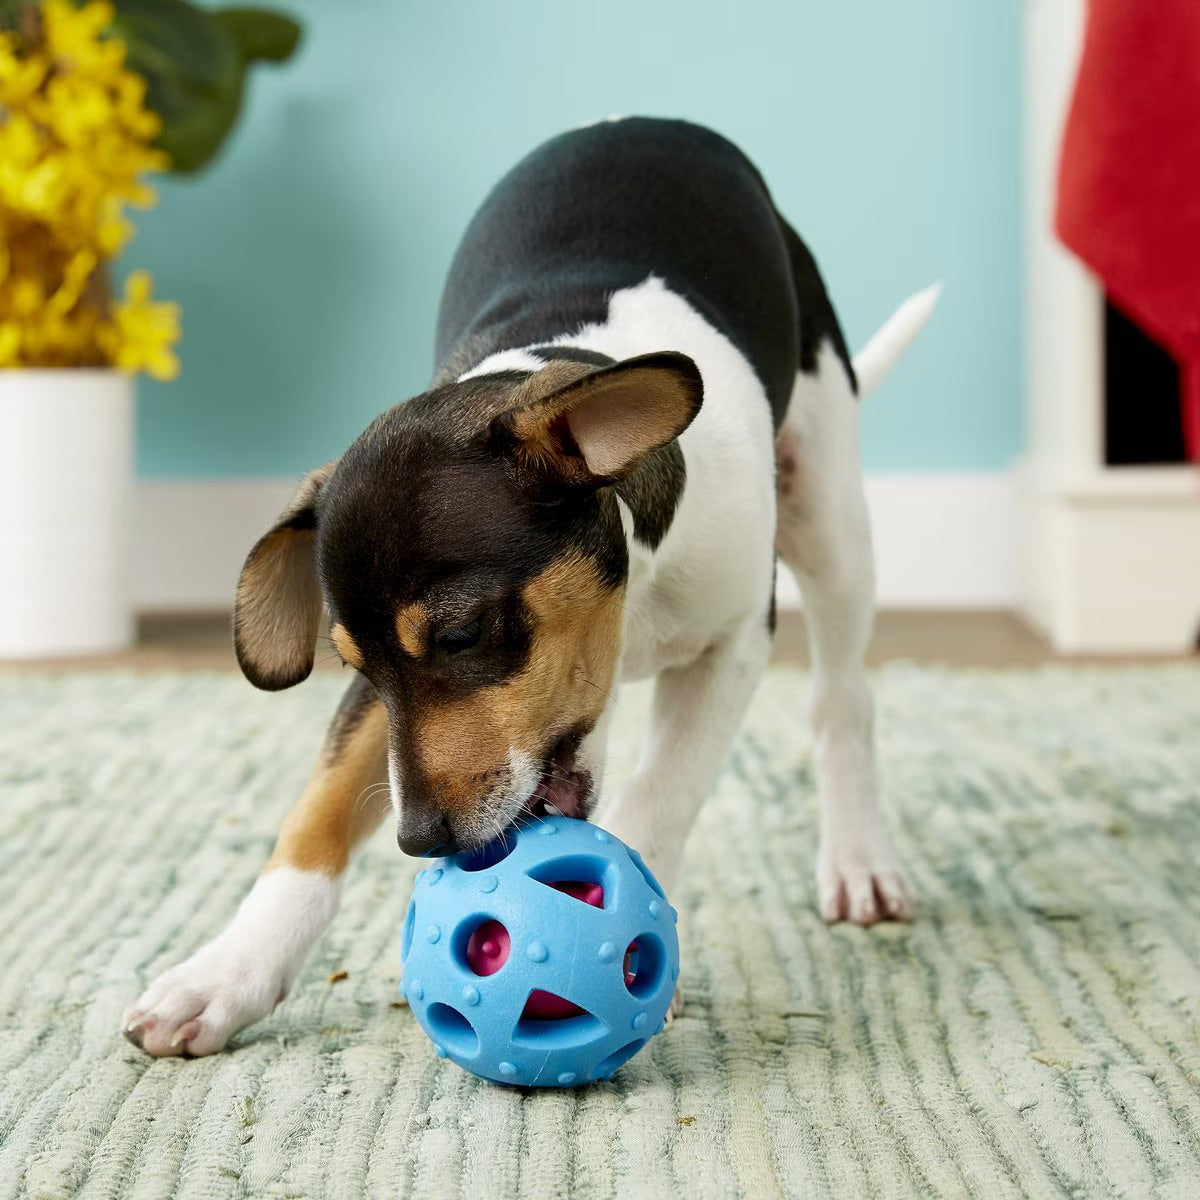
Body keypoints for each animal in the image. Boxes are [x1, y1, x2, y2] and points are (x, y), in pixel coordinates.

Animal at [129, 117, 936, 1056]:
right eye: (354, 667)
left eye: (463, 635)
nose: (422, 840)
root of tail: (650, 122)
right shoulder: (374, 707)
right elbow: (314, 815)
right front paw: (225, 975)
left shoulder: (735, 642)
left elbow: (661, 798)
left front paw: (631, 947)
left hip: (829, 512)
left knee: (842, 700)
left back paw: (858, 859)